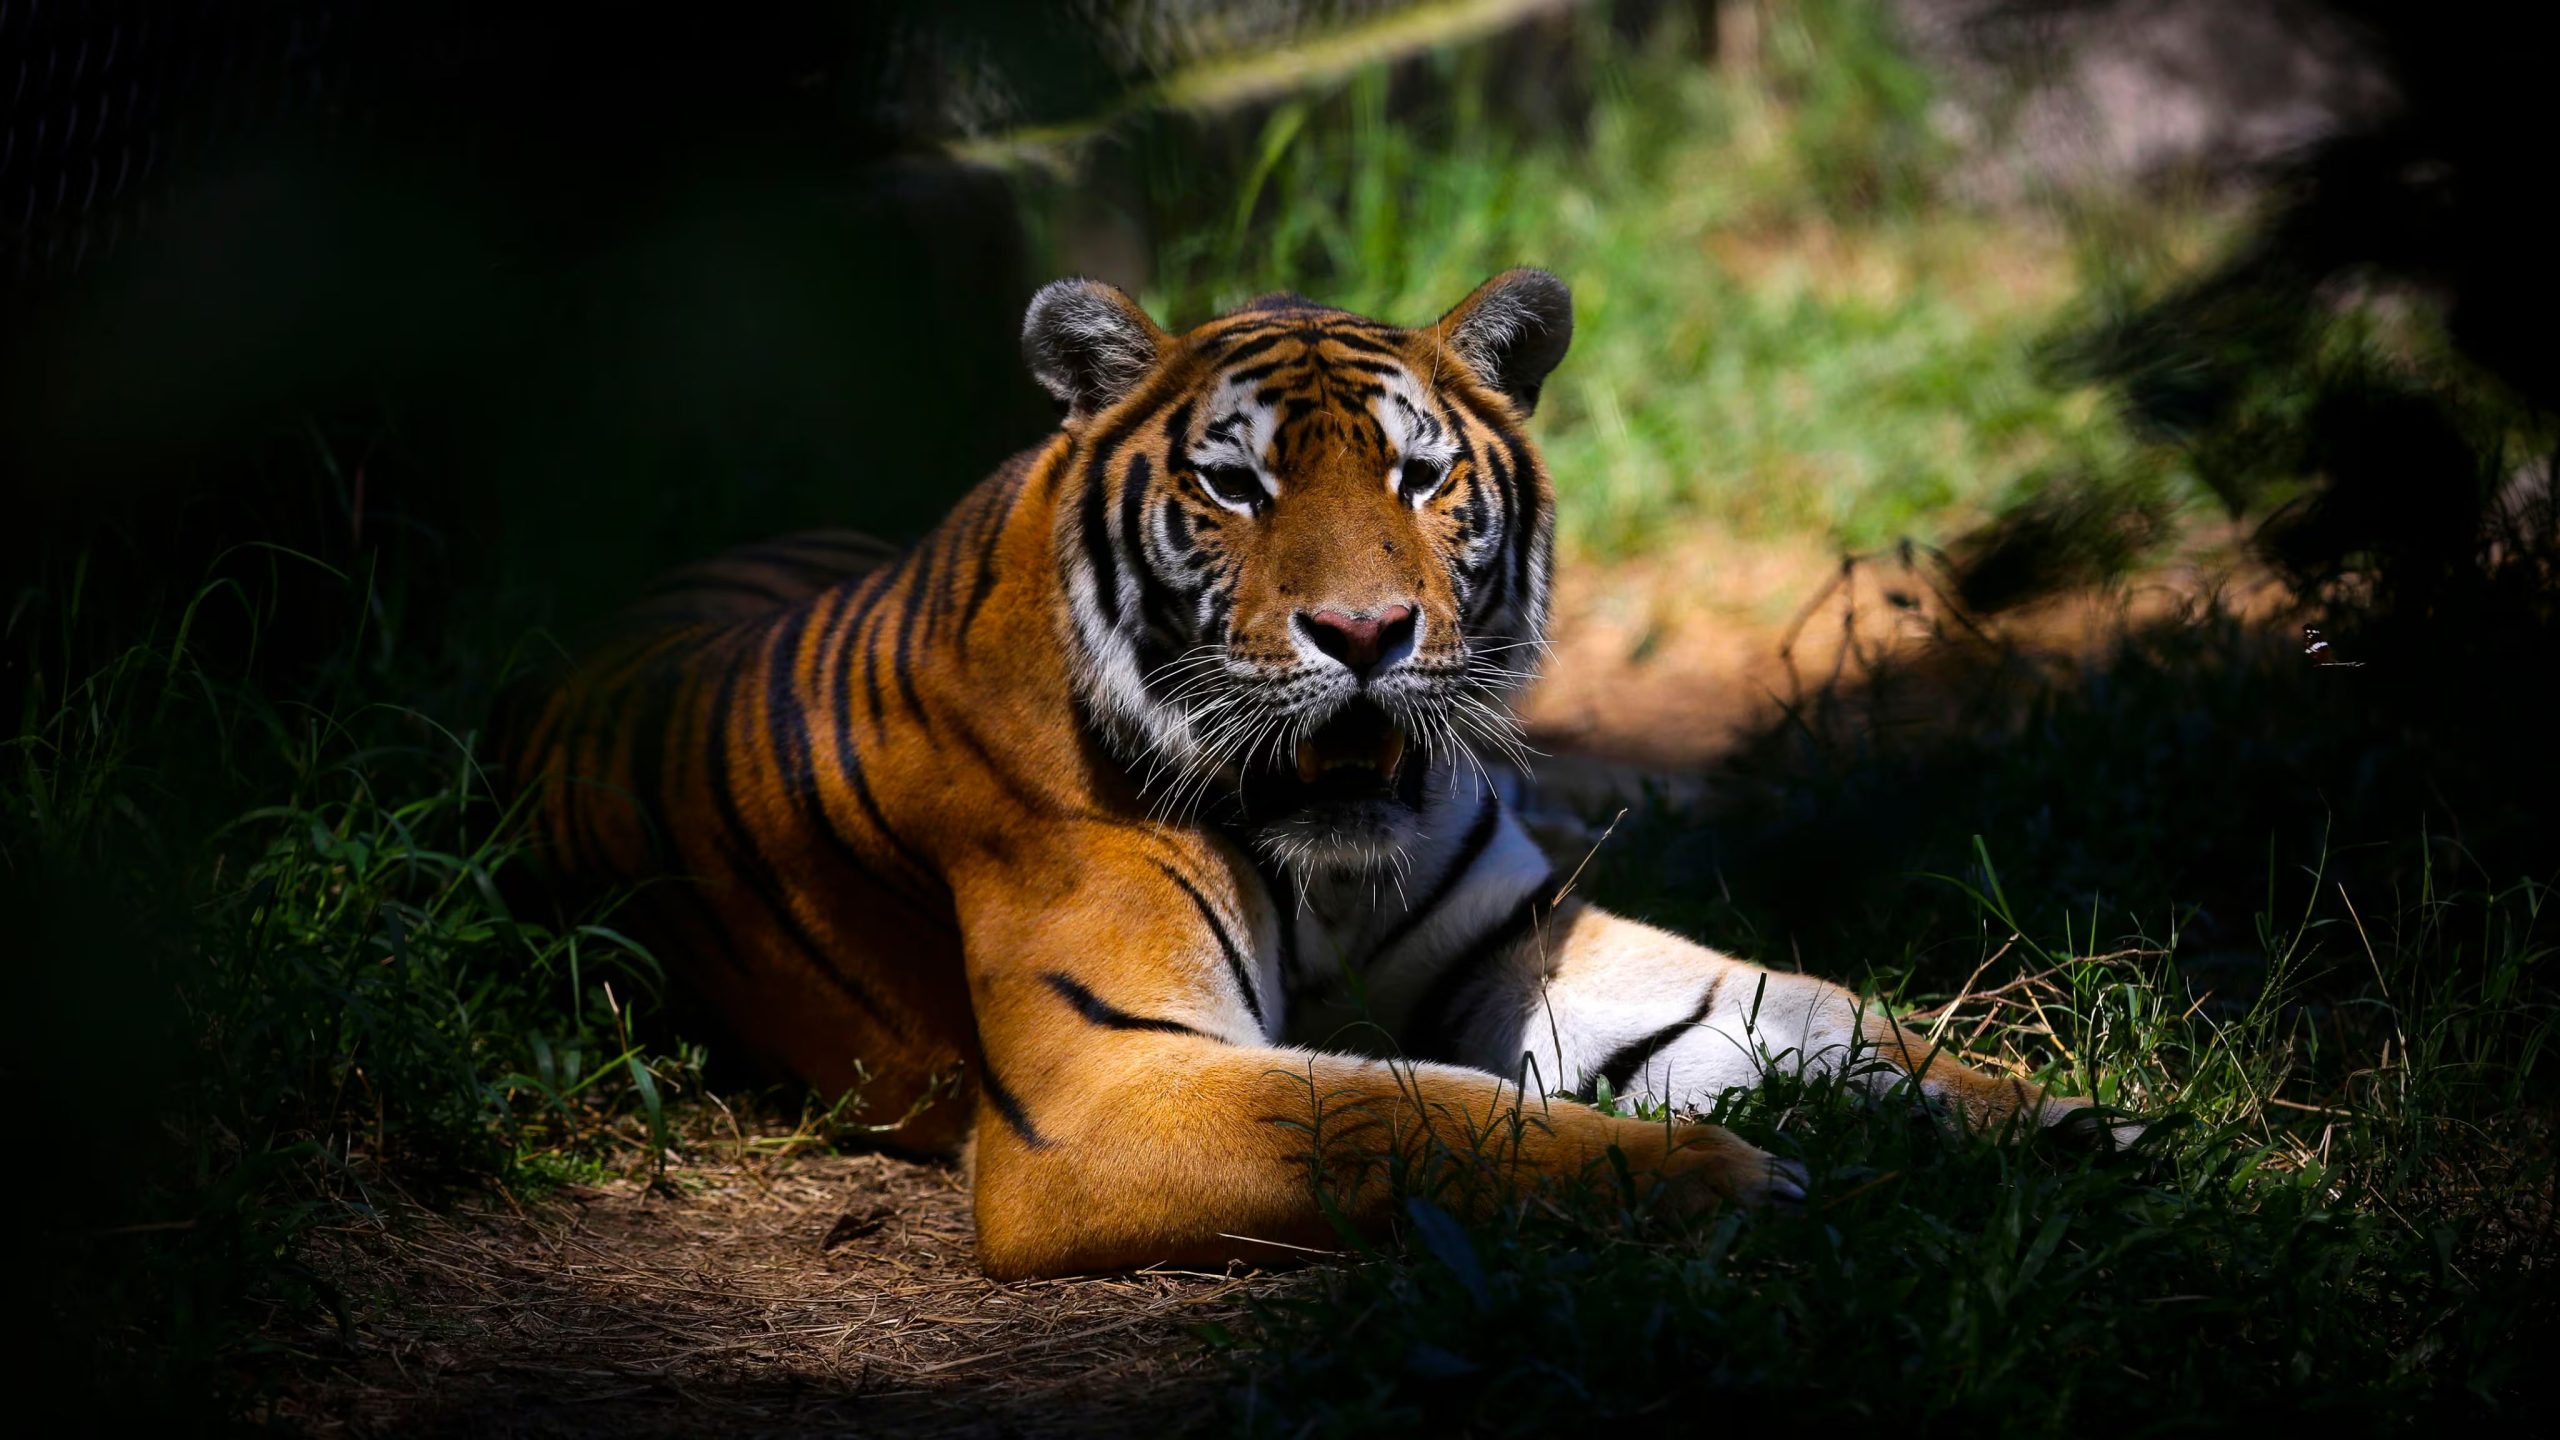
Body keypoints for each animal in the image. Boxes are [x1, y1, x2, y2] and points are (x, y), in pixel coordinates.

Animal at [506, 270, 2125, 1279]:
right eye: (1236, 486)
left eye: (1421, 476)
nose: (1363, 632)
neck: (1328, 850)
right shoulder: (1108, 1087)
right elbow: (1398, 1112)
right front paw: (1715, 1178)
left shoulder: (1520, 942)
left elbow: (1819, 1012)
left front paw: (2065, 1125)